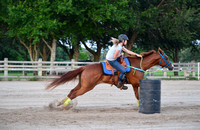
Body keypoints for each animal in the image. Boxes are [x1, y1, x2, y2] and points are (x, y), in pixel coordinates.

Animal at [45, 47, 173, 108]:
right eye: (166, 57)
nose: (171, 66)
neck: (137, 65)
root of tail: (85, 67)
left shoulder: (136, 85)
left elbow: (138, 96)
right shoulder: (136, 84)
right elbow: (138, 96)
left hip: (82, 84)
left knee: (71, 92)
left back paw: (59, 104)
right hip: (87, 87)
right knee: (74, 94)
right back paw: (65, 106)